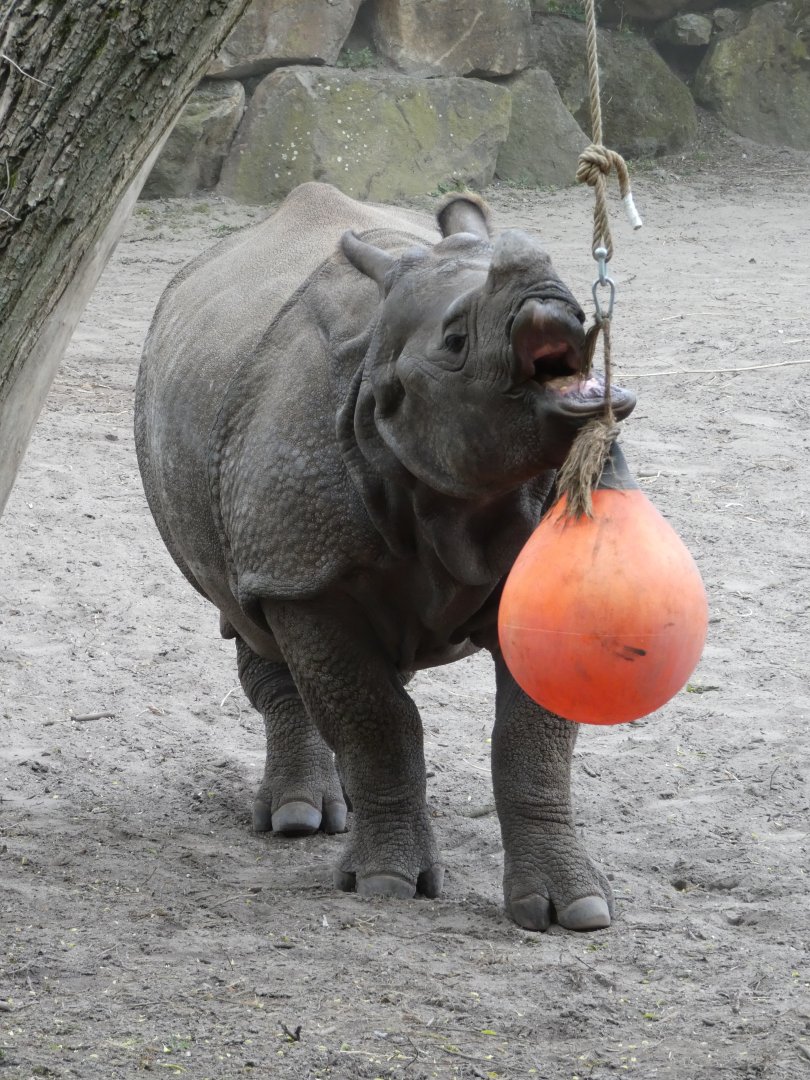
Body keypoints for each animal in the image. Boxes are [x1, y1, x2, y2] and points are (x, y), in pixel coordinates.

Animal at [135, 182, 636, 932]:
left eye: (581, 299)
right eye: (456, 342)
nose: (553, 296)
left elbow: (532, 736)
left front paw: (572, 910)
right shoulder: (300, 566)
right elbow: (376, 722)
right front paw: (386, 885)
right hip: (249, 524)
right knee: (251, 614)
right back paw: (299, 819)